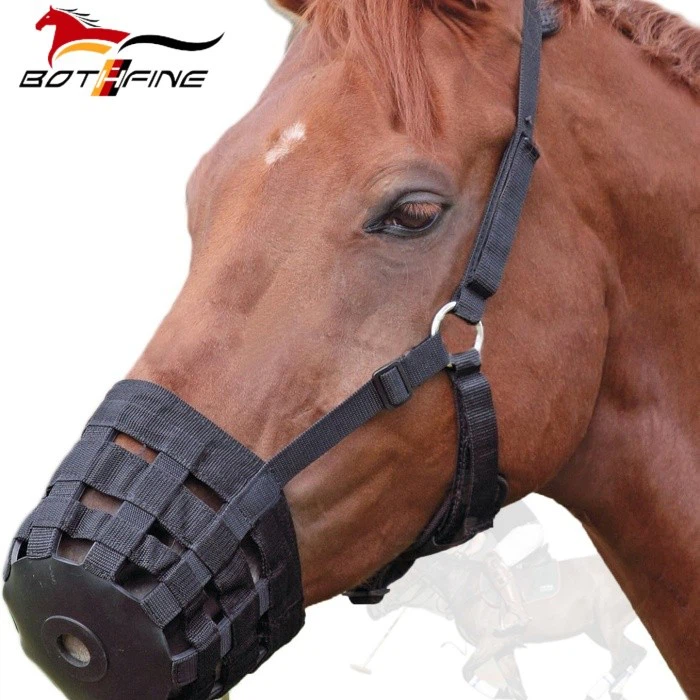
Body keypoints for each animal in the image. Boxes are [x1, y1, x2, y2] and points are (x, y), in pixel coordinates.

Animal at [366, 544, 646, 699]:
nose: (371, 612)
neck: (463, 585)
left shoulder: (492, 642)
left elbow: (467, 672)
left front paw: (501, 692)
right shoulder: (504, 649)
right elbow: (517, 688)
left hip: (607, 624)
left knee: (623, 659)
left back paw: (597, 690)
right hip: (596, 630)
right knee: (637, 653)